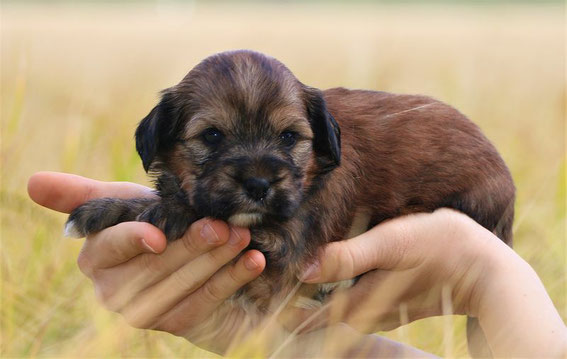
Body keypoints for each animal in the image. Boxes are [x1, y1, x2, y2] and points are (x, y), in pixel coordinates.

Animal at [65, 50, 516, 348]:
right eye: (212, 135)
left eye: (288, 137)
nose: (258, 185)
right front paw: (108, 208)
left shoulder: (286, 243)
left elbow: (208, 216)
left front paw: (159, 210)